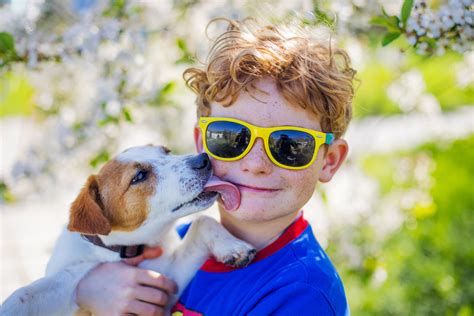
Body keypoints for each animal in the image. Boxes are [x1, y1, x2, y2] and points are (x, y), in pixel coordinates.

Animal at [0, 144, 258, 314]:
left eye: (167, 152)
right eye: (139, 176)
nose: (203, 159)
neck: (126, 250)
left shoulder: (169, 281)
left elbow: (203, 221)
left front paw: (233, 247)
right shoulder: (72, 278)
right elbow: (25, 295)